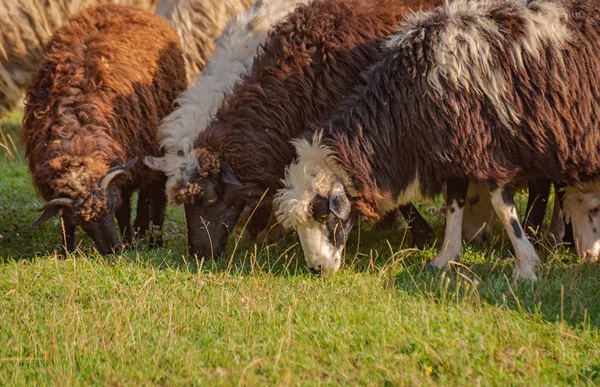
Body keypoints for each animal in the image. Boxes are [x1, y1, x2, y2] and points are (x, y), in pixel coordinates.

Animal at [22, 4, 188, 256]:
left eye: (110, 207)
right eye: (82, 222)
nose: (112, 249)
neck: (77, 135)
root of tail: (120, 5)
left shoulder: (125, 170)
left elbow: (125, 209)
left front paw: (130, 240)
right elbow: (64, 223)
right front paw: (67, 251)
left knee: (154, 194)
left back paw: (151, 240)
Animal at [276, 0, 600, 280]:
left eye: (322, 214)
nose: (316, 269)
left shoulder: (483, 147)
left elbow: (502, 208)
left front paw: (526, 266)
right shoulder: (455, 150)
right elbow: (455, 202)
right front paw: (446, 258)